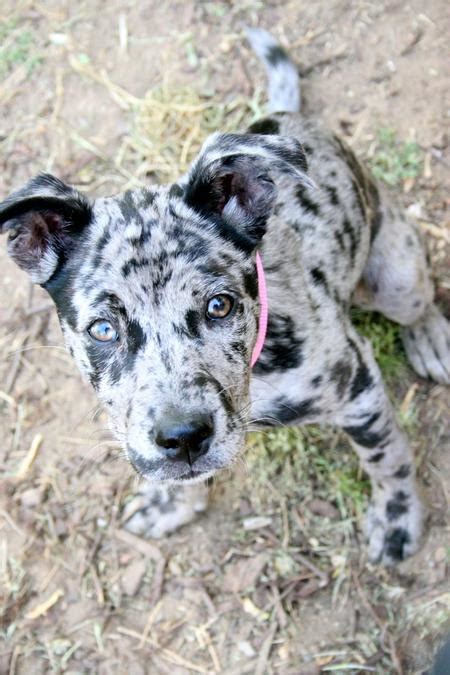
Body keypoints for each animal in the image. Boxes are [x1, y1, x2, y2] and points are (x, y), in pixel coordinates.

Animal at [0, 27, 448, 564]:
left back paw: (430, 337)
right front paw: (171, 503)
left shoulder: (357, 384)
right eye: (103, 329)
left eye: (220, 305)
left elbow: (387, 456)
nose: (182, 438)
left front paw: (398, 515)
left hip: (395, 277)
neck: (256, 376)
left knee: (418, 299)